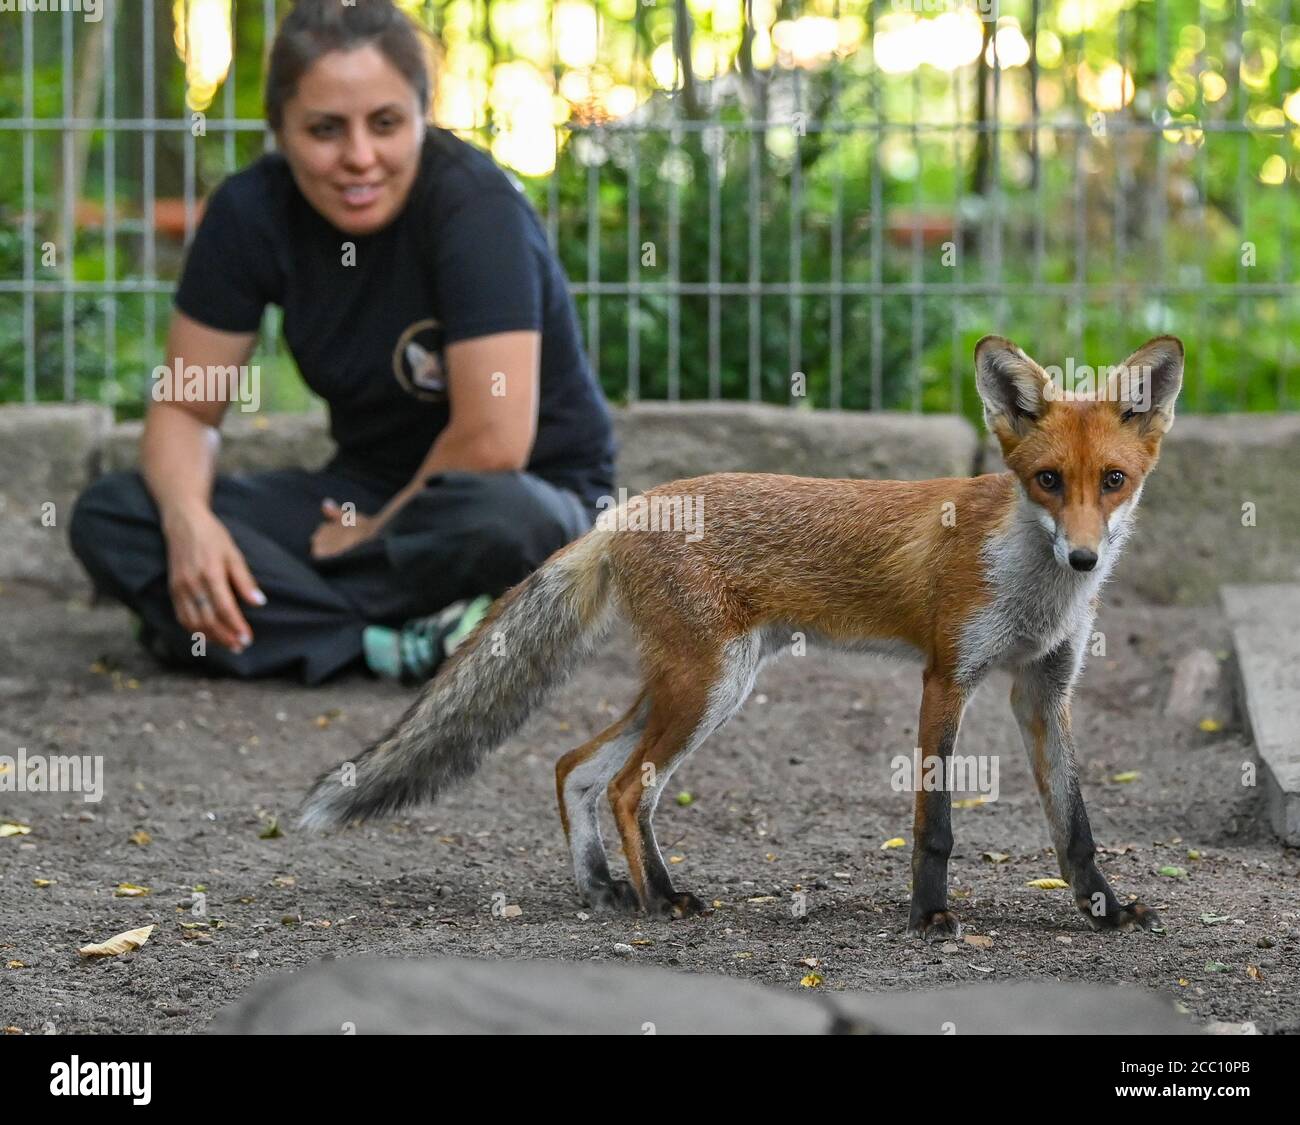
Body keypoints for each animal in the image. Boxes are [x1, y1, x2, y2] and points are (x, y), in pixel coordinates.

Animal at [299, 332, 1185, 941]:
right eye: (1047, 481)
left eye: (1113, 481)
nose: (1084, 555)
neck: (1034, 586)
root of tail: (628, 508)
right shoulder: (947, 675)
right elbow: (935, 824)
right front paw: (930, 915)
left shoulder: (1044, 691)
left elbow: (1075, 825)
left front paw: (1103, 909)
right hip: (708, 683)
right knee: (628, 788)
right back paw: (663, 897)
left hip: (705, 683)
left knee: (575, 766)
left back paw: (605, 888)